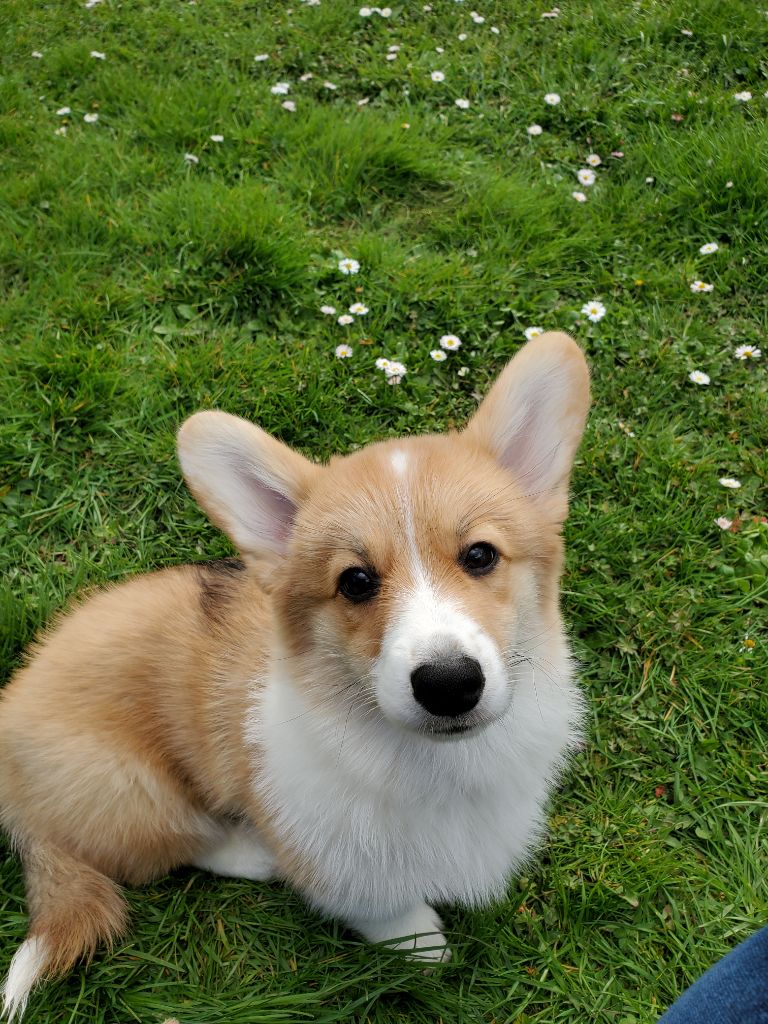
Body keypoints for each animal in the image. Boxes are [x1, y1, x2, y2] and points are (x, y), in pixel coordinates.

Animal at [0, 329, 593, 1015]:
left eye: (480, 556)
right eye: (355, 581)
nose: (449, 685)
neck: (427, 760)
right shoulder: (329, 850)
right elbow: (381, 904)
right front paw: (424, 945)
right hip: (131, 789)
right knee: (175, 845)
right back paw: (253, 854)